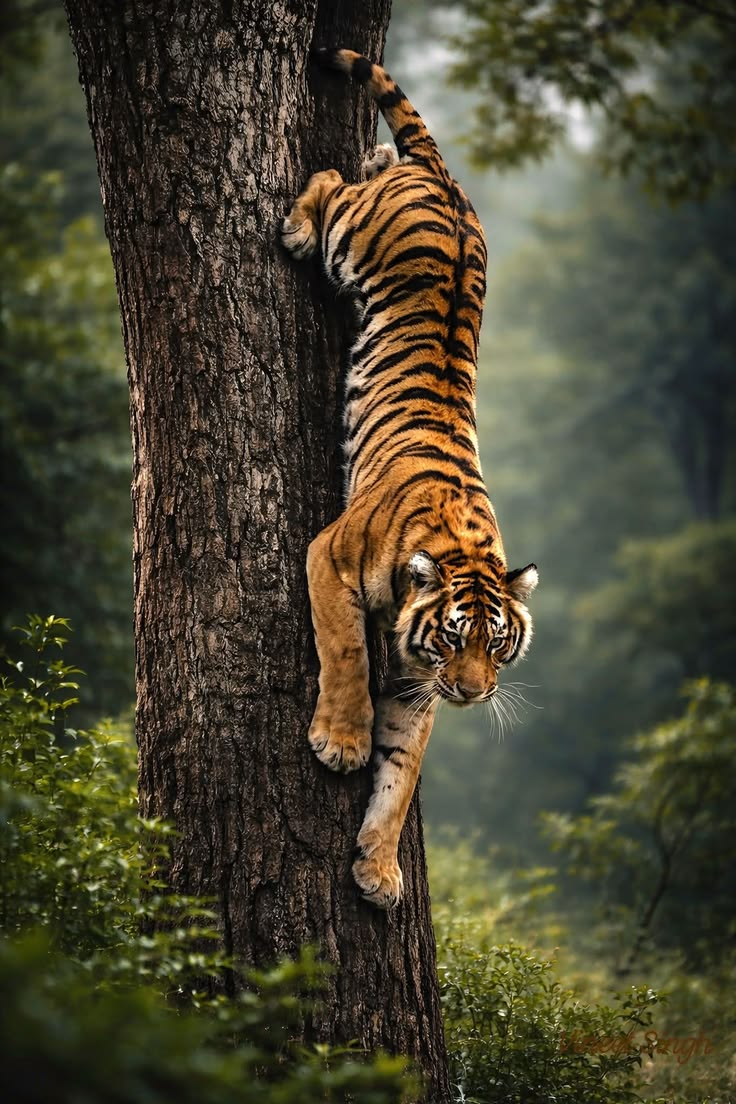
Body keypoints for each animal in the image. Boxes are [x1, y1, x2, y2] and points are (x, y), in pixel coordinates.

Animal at [282, 48, 538, 908]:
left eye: (499, 646)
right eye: (456, 635)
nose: (473, 693)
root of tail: (443, 177)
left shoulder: (416, 684)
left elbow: (402, 772)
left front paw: (380, 871)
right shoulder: (327, 558)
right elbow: (347, 657)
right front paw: (339, 742)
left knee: (363, 163)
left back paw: (373, 156)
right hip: (347, 241)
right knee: (327, 183)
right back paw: (297, 221)